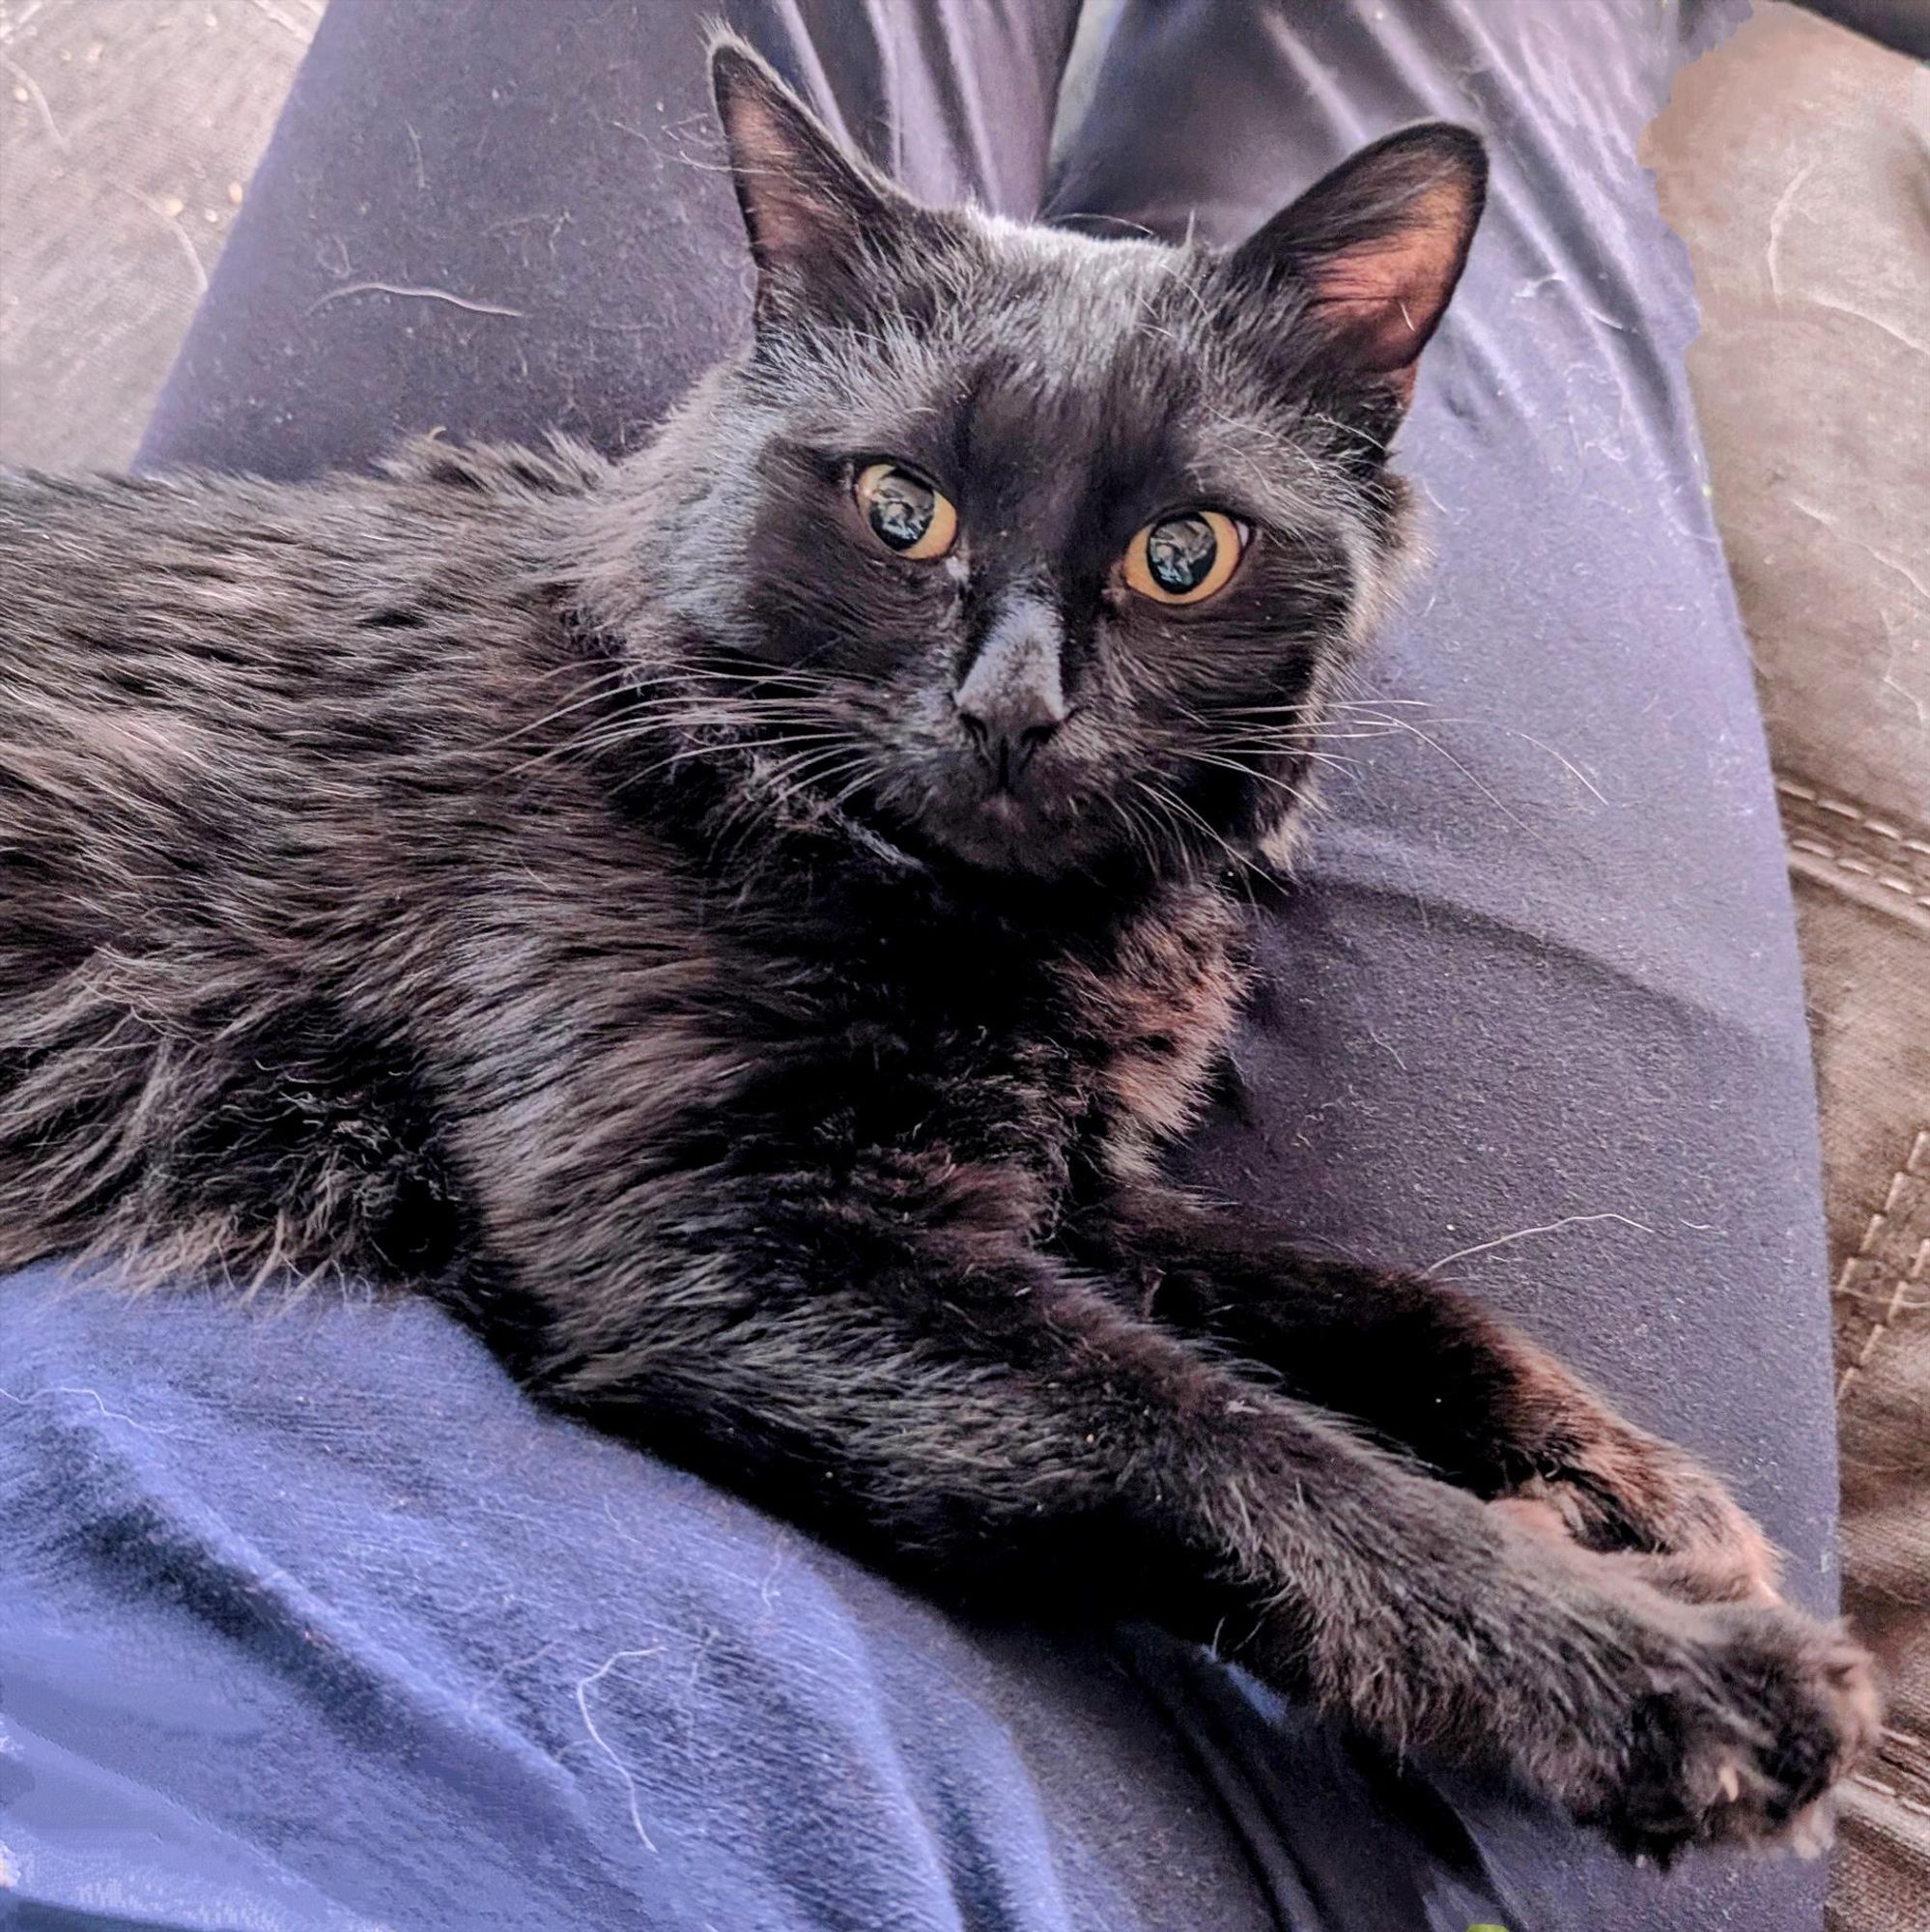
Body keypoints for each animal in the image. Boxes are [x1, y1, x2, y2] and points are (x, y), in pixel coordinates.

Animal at [0, 38, 1870, 1862]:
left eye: (1180, 554)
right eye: (902, 508)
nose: (1011, 709)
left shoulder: (1054, 1184)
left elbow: (1375, 1301)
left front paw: (1625, 1482)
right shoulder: (734, 1230)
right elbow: (1230, 1441)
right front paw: (1654, 1675)